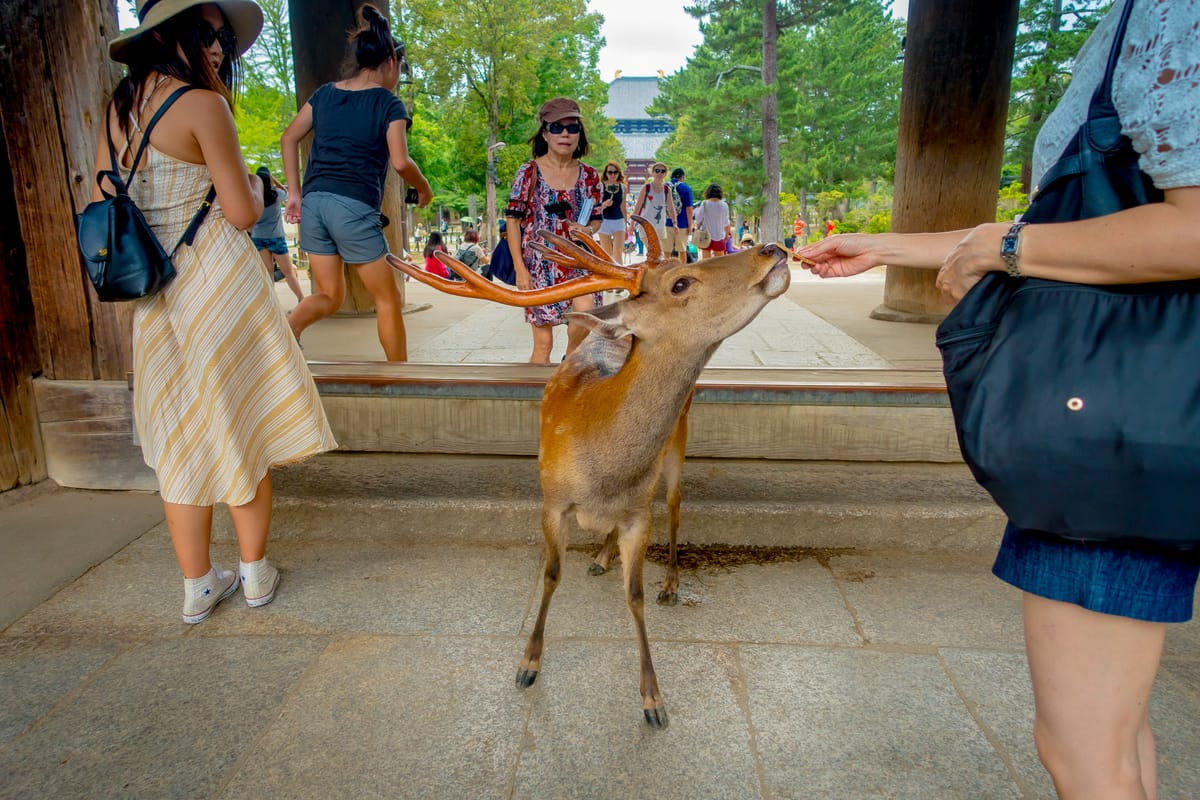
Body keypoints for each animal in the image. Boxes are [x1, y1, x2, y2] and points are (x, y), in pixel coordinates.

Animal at [388, 217, 792, 724]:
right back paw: (601, 557)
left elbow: (635, 594)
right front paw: (528, 664)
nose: (774, 249)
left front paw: (653, 700)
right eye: (681, 283)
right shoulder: (551, 500)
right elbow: (551, 575)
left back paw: (670, 582)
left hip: (680, 439)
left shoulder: (639, 512)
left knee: (676, 504)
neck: (604, 469)